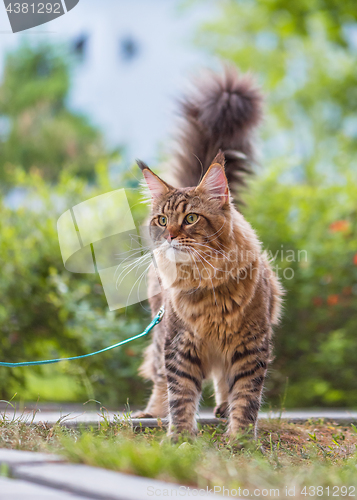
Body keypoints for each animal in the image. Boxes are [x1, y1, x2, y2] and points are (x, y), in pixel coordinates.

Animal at [135, 67, 282, 438]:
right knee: (160, 378)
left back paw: (222, 409)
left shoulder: (251, 345)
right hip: (160, 334)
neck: (208, 286)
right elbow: (181, 396)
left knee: (223, 380)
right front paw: (180, 438)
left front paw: (240, 439)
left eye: (190, 219)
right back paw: (151, 413)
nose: (170, 236)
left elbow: (246, 396)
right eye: (162, 220)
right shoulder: (180, 344)